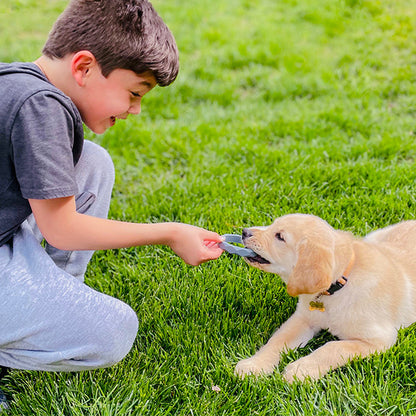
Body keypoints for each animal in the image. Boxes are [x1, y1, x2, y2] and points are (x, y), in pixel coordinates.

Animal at [236, 214, 416, 384]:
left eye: (280, 236)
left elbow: (332, 348)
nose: (245, 232)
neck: (339, 286)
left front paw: (301, 370)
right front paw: (254, 365)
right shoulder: (303, 319)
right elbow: (278, 340)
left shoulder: (379, 340)